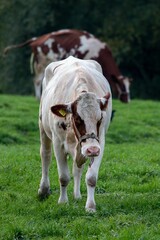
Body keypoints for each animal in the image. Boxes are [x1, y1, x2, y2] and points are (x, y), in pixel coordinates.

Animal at [3, 29, 131, 102]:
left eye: (129, 86)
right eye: (122, 86)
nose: (127, 100)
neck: (99, 51)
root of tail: (37, 39)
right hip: (42, 63)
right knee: (37, 80)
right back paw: (38, 98)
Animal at [38, 56, 112, 212]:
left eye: (100, 118)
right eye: (78, 119)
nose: (92, 149)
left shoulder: (99, 143)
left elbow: (91, 177)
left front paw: (90, 206)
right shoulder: (58, 143)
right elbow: (63, 176)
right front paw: (62, 202)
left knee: (77, 168)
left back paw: (77, 195)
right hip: (43, 128)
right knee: (45, 156)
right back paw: (43, 190)